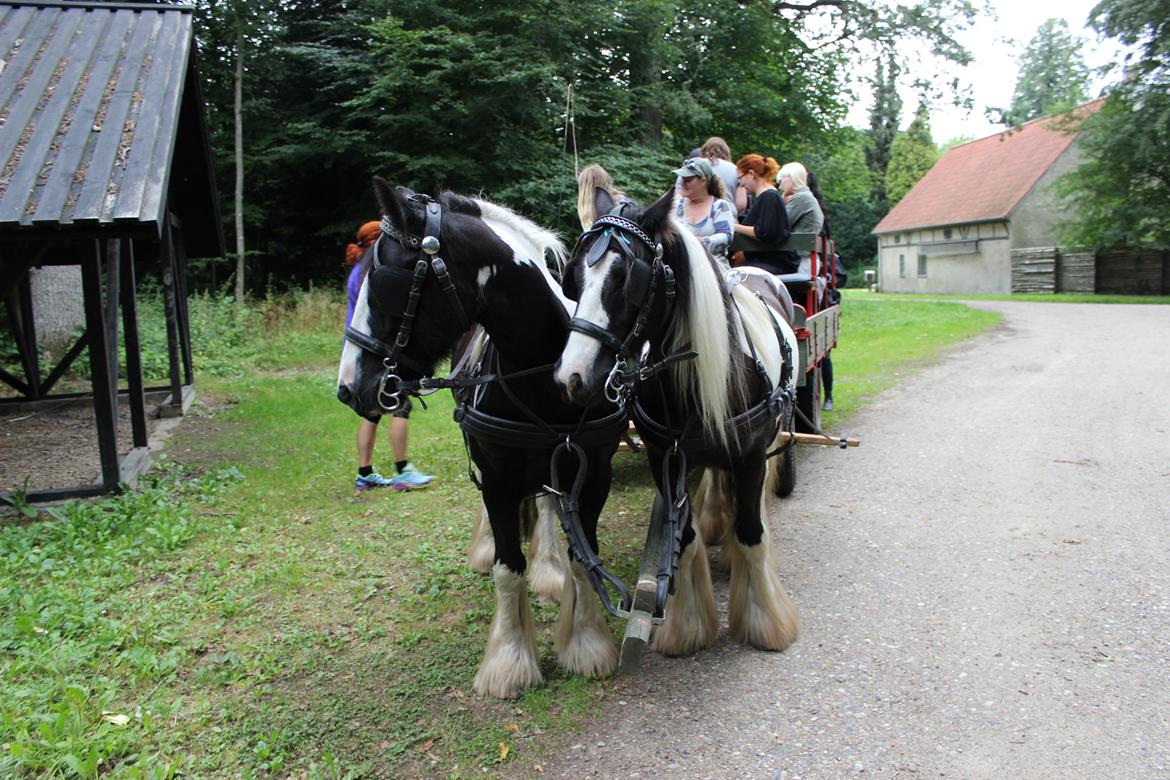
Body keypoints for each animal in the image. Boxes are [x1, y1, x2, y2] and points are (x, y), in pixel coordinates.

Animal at [334, 180, 627, 696]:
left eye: (385, 280)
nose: (348, 386)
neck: (546, 377)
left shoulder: (594, 473)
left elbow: (581, 556)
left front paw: (586, 643)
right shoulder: (497, 477)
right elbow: (508, 569)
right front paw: (509, 661)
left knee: (546, 505)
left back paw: (547, 569)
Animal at [552, 189, 800, 659]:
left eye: (625, 278)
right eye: (573, 277)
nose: (570, 377)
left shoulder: (752, 454)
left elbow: (751, 530)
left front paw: (764, 623)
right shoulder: (666, 458)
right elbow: (682, 538)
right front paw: (687, 627)